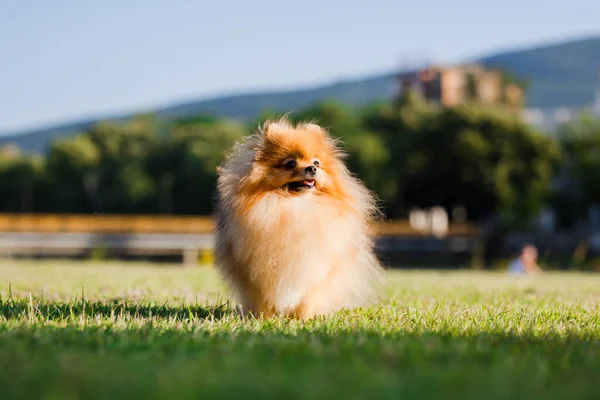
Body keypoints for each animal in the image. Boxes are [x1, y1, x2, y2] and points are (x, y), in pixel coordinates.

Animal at [216, 118, 382, 318]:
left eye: (316, 162)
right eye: (290, 164)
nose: (312, 168)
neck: (297, 207)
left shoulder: (316, 269)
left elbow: (307, 298)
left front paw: (303, 319)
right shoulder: (256, 273)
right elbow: (264, 299)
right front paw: (265, 318)